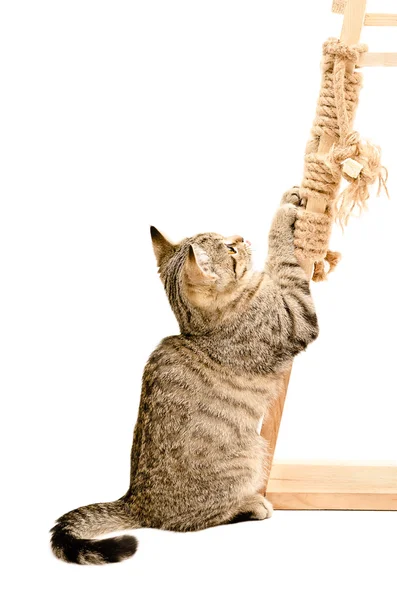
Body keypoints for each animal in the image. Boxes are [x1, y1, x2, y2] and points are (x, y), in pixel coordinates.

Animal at [50, 190, 318, 564]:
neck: (199, 327)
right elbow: (283, 263)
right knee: (198, 520)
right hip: (250, 455)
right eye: (230, 249)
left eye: (228, 238)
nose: (240, 237)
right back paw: (251, 505)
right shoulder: (294, 316)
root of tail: (134, 502)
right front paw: (282, 217)